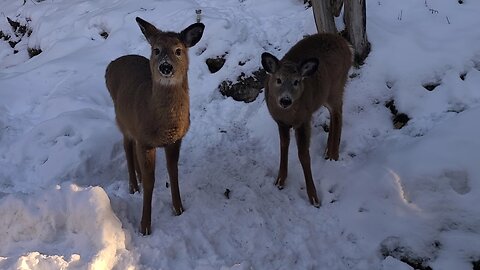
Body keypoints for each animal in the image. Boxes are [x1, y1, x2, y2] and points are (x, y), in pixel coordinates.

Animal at [105, 17, 204, 235]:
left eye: (178, 50)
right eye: (156, 50)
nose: (166, 67)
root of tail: (111, 64)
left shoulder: (175, 140)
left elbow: (173, 172)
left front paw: (179, 208)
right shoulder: (146, 142)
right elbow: (151, 182)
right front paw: (145, 226)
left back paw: (138, 178)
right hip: (122, 119)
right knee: (127, 146)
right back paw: (134, 185)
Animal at [260, 33, 354, 207]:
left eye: (296, 81)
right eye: (278, 79)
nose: (285, 100)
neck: (289, 115)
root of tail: (346, 44)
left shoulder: (304, 120)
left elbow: (303, 155)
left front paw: (314, 198)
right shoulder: (280, 122)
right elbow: (283, 146)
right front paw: (280, 181)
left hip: (337, 84)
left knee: (338, 112)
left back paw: (333, 154)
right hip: (324, 94)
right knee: (333, 112)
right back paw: (327, 151)